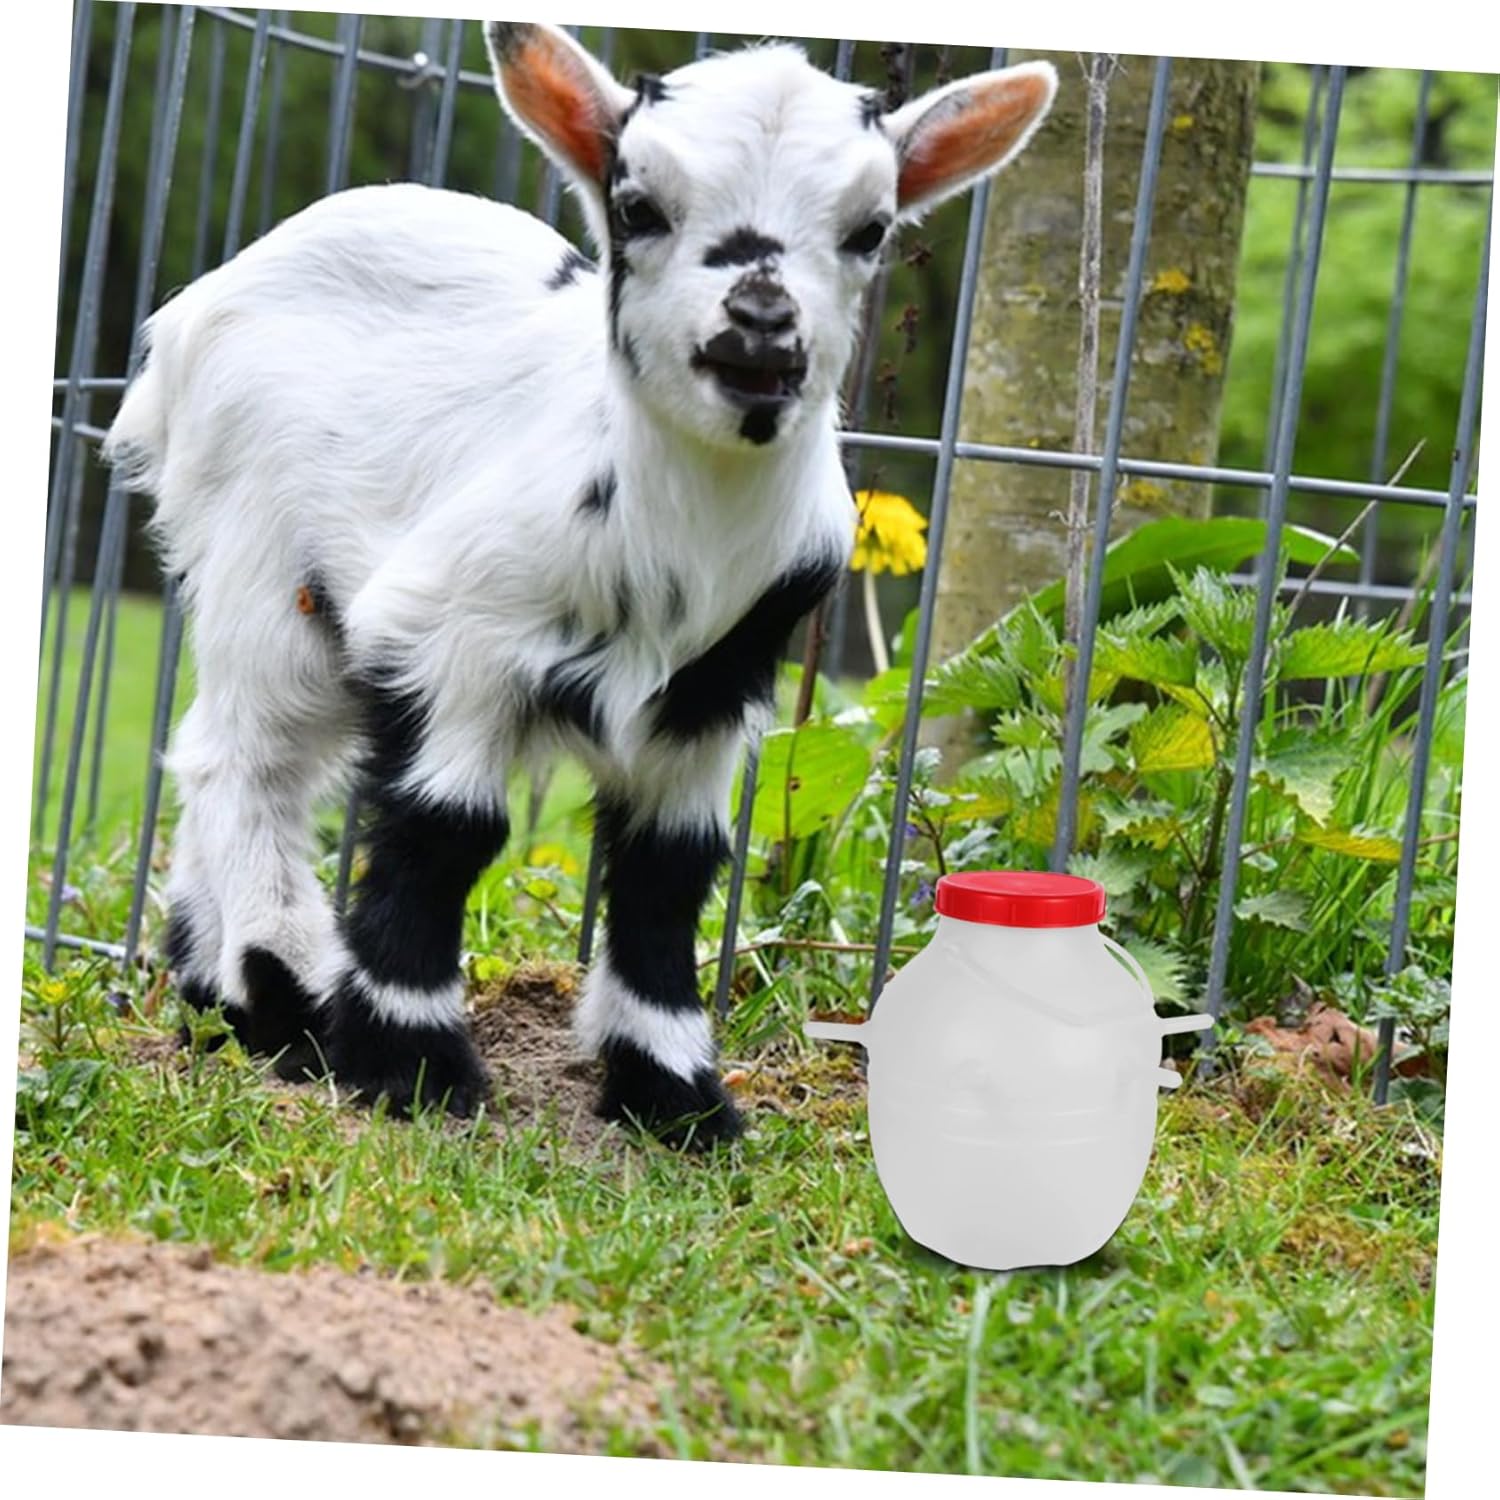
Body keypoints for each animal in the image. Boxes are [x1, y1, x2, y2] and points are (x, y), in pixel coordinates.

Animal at [103, 22, 1056, 1146]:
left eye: (870, 229)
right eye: (638, 204)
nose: (760, 327)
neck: (682, 531)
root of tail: (195, 312)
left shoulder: (715, 683)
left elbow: (670, 863)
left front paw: (675, 1093)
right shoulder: (447, 628)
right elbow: (447, 827)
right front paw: (413, 1065)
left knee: (226, 750)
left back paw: (218, 998)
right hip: (263, 557)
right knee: (245, 761)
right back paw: (280, 996)